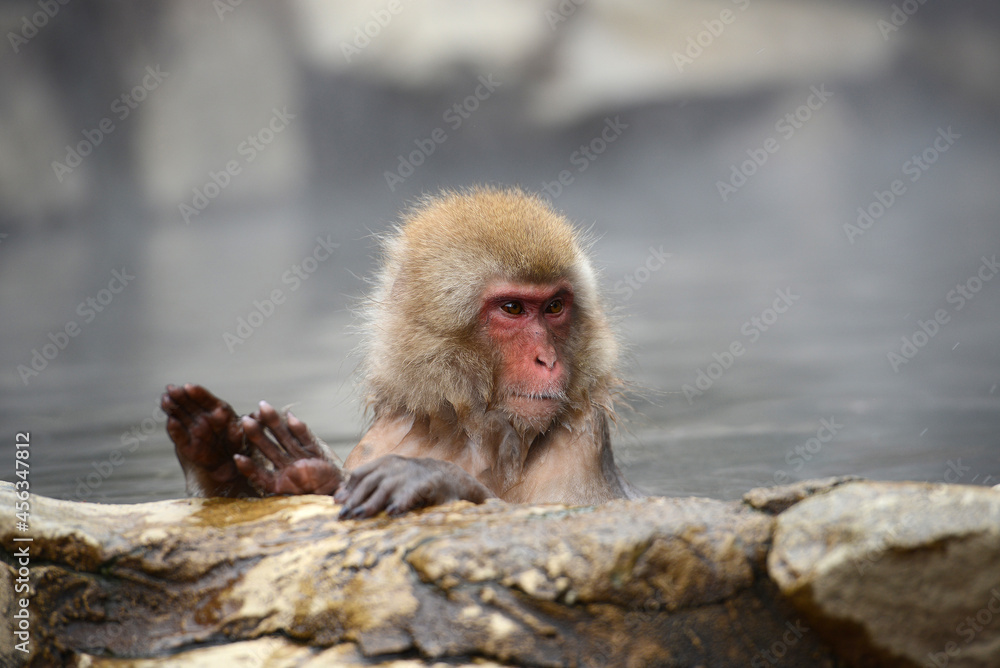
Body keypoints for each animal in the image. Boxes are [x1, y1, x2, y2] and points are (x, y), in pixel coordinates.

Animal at [161, 186, 641, 518]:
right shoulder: (379, 441)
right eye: (513, 309)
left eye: (554, 306)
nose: (548, 359)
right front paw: (232, 459)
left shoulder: (580, 443)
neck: (470, 430)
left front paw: (433, 479)